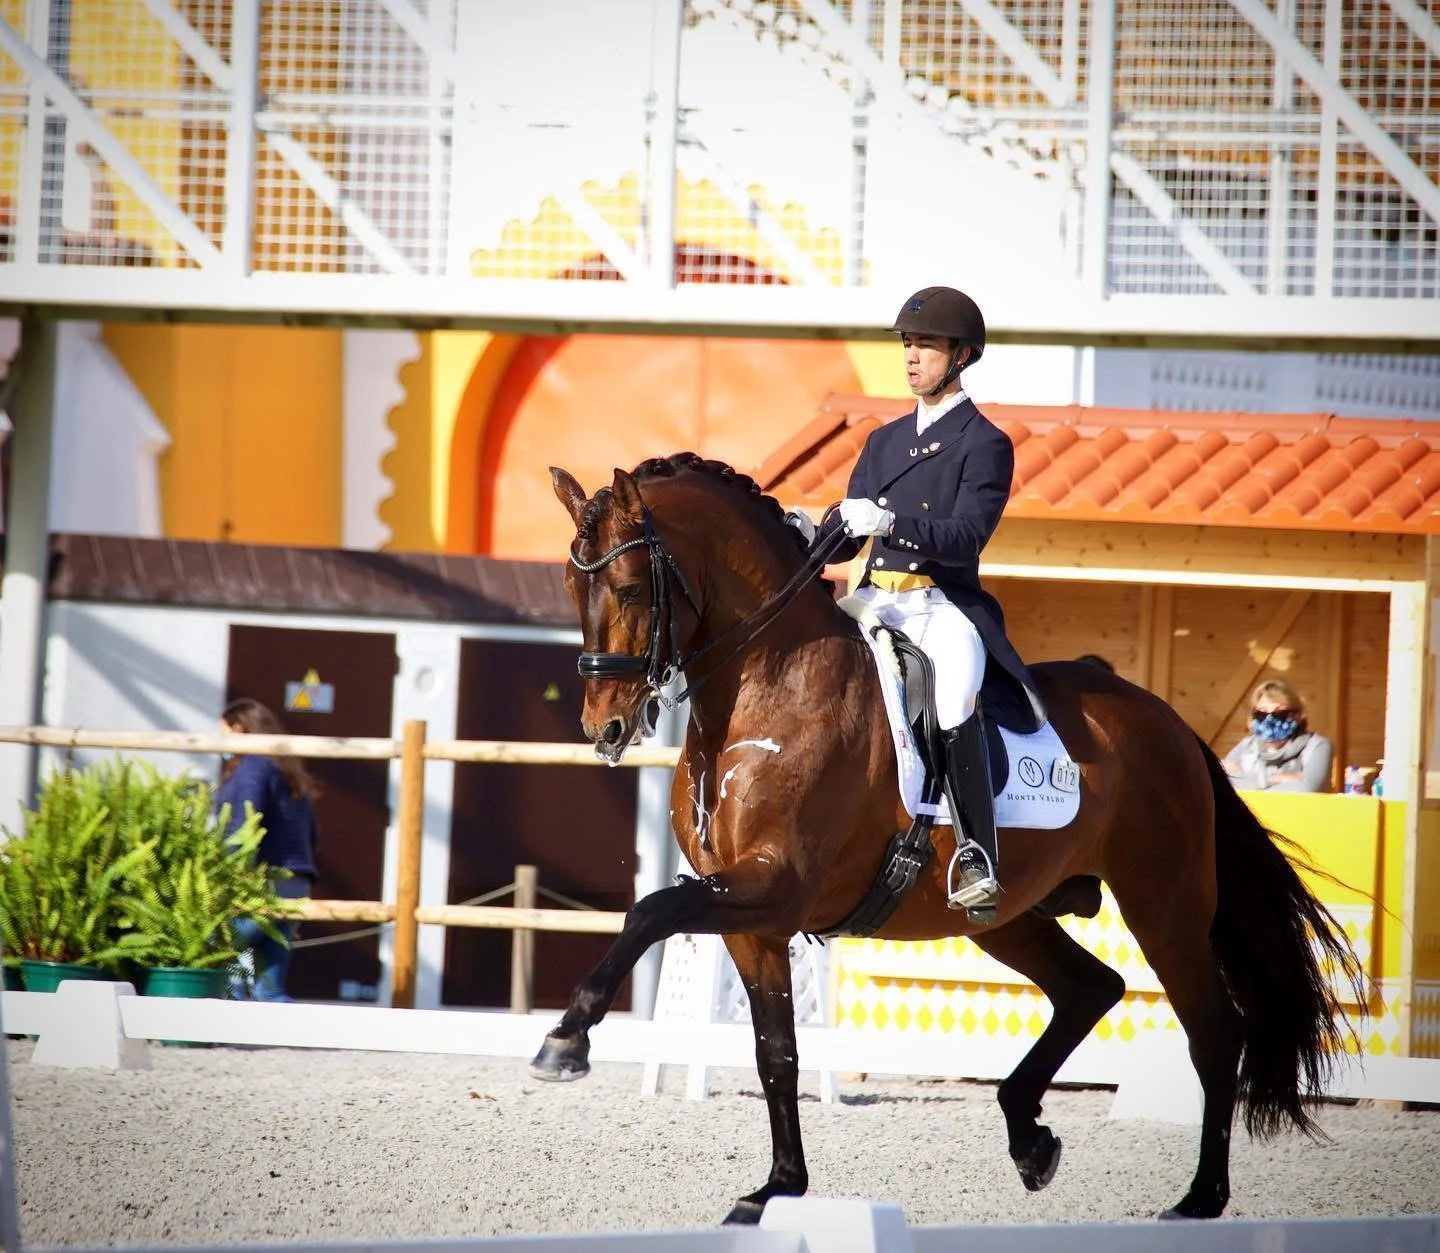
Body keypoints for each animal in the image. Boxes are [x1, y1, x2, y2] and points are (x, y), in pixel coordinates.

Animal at [531, 452, 1362, 1226]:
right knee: (1091, 987)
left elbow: (651, 911)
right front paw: (778, 1188)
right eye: (571, 587)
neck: (767, 687)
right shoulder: (753, 920)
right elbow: (776, 1052)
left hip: (1166, 907)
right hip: (1007, 916)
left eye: (630, 588)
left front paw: (566, 1039)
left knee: (1213, 1030)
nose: (604, 727)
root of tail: (1169, 722)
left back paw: (1199, 1197)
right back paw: (1031, 1139)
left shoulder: (776, 885)